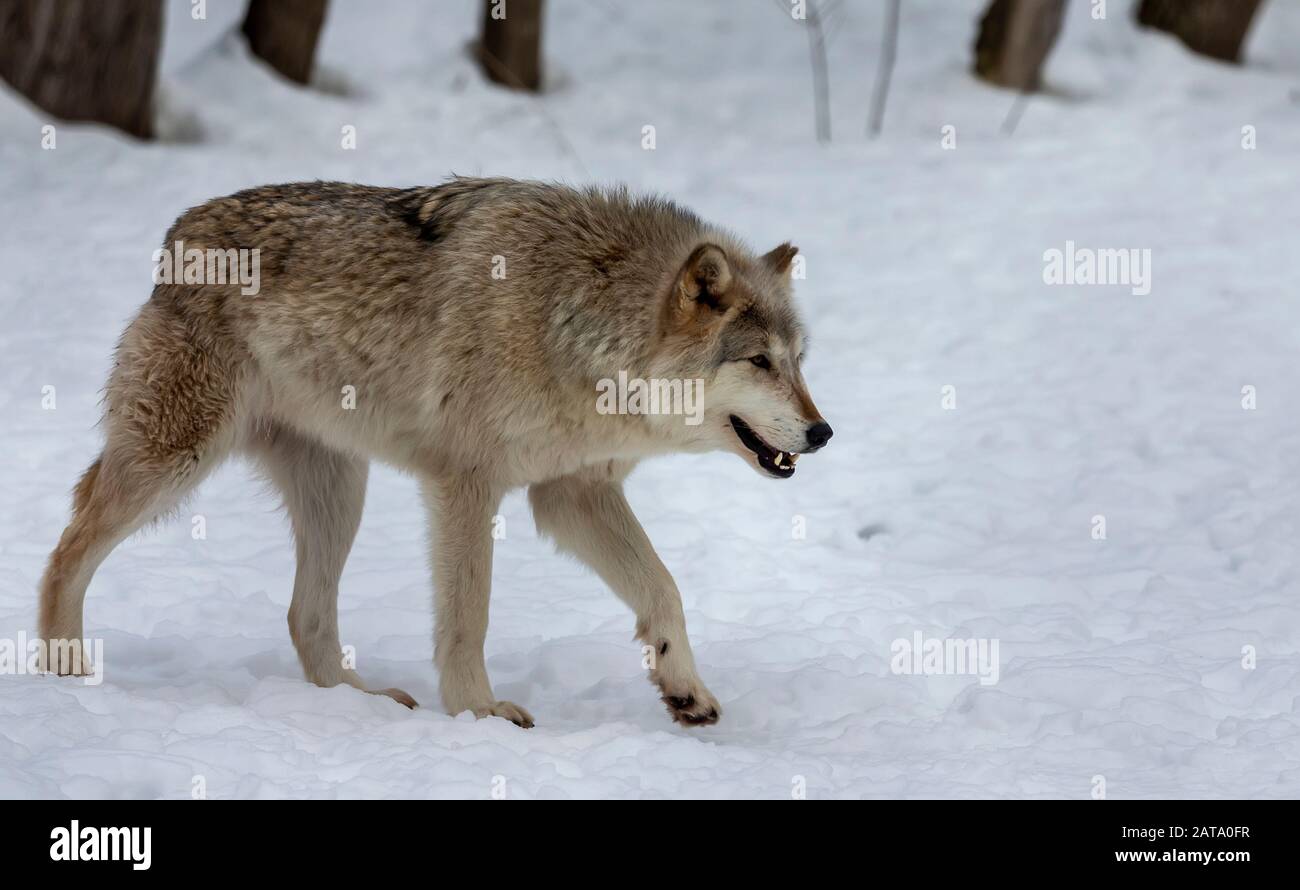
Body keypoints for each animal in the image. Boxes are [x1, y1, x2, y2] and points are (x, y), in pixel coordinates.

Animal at [40, 176, 837, 727]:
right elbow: (468, 616)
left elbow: (664, 588)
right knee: (66, 547)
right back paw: (63, 672)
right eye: (759, 362)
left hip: (339, 491)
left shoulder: (570, 493)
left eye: (799, 362)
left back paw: (361, 702)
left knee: (303, 616)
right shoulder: (467, 486)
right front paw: (480, 713)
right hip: (176, 464)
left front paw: (685, 690)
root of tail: (177, 234)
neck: (573, 321)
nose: (823, 433)